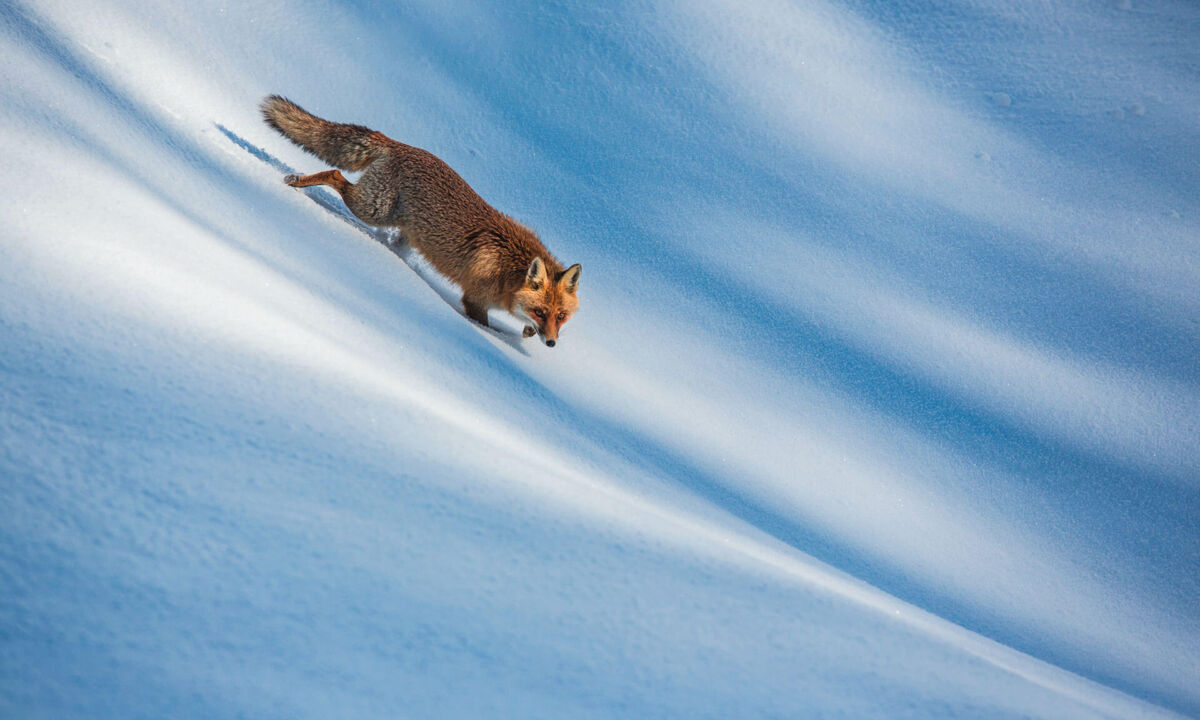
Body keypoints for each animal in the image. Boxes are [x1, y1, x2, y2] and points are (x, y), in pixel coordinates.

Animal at [262, 94, 580, 348]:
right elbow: (490, 329)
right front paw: (506, 339)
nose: (552, 343)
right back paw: (297, 181)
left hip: (402, 227)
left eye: (561, 316)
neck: (509, 268)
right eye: (541, 312)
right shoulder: (474, 301)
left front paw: (526, 332)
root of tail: (400, 144)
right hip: (372, 208)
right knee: (334, 174)